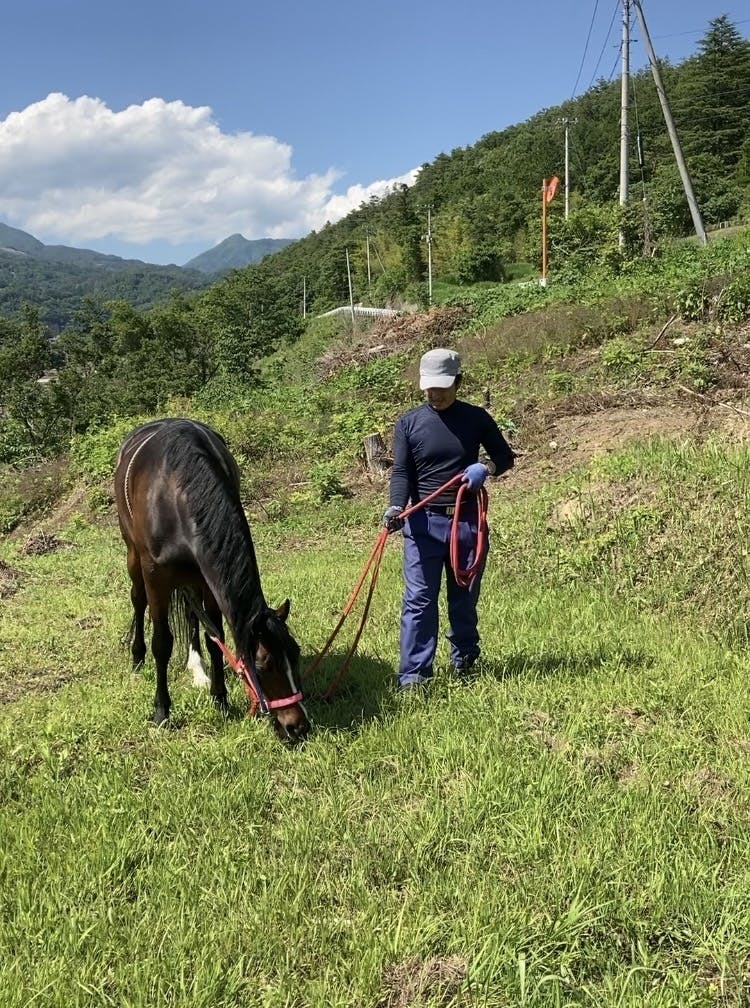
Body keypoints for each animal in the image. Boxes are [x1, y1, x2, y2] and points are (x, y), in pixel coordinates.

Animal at [113, 418, 310, 743]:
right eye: (263, 666)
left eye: (295, 654)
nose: (297, 726)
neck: (175, 492)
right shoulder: (156, 576)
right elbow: (162, 642)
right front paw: (161, 710)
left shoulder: (208, 578)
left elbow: (214, 637)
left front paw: (220, 699)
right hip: (133, 556)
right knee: (137, 600)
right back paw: (137, 658)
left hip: (194, 576)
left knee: (193, 616)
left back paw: (197, 668)